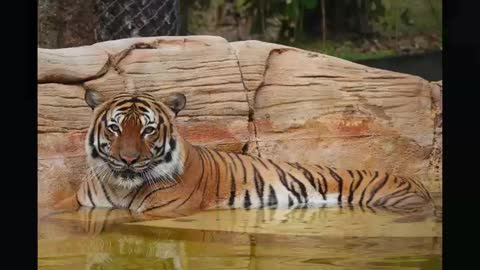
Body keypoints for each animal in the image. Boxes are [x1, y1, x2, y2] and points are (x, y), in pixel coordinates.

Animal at [54, 89, 436, 216]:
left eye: (148, 129)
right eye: (115, 128)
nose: (129, 159)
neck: (121, 186)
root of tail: (420, 184)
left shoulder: (163, 211)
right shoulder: (81, 204)